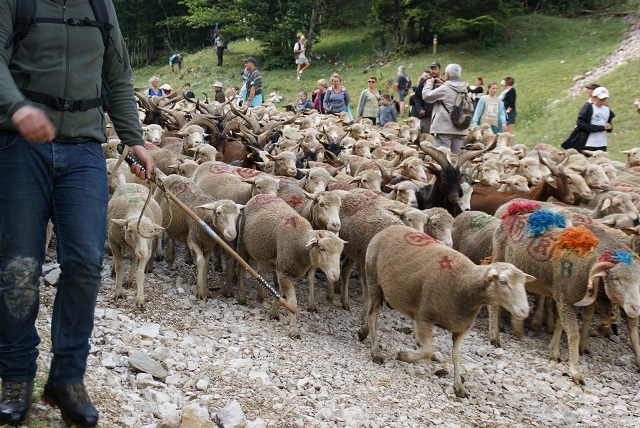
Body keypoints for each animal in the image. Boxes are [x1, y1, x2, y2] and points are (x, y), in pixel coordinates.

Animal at [235, 195, 344, 338]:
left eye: (340, 252)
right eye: (322, 249)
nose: (335, 276)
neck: (300, 243)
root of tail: (261, 195)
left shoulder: (283, 271)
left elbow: (281, 292)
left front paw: (273, 312)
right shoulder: (283, 271)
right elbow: (292, 302)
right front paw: (293, 329)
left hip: (262, 251)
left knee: (261, 270)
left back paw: (260, 296)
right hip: (242, 243)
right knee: (241, 269)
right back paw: (242, 297)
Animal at [358, 224, 532, 398]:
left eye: (523, 284)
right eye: (503, 282)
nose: (524, 311)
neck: (464, 283)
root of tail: (389, 228)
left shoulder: (460, 328)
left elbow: (456, 355)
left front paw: (459, 386)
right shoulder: (425, 318)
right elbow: (428, 350)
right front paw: (403, 356)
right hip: (374, 283)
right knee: (372, 316)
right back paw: (375, 350)